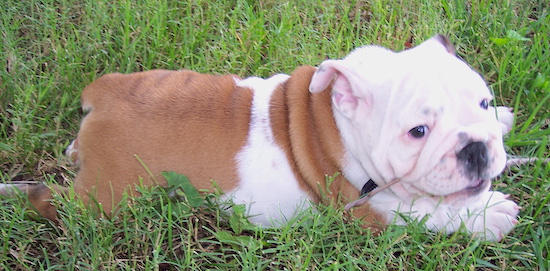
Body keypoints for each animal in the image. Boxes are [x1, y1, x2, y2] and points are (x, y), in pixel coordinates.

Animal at [1, 35, 520, 241]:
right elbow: (428, 212)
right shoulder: (370, 209)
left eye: (482, 102)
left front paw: (504, 122)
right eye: (418, 132)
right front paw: (488, 214)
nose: (476, 149)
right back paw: (18, 192)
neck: (336, 116)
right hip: (103, 199)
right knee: (51, 200)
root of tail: (103, 95)